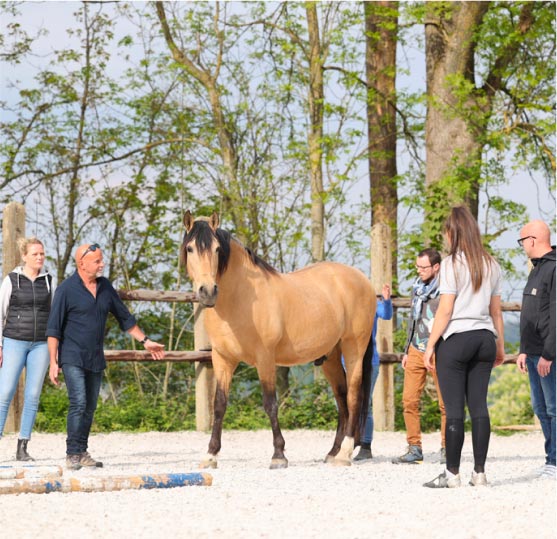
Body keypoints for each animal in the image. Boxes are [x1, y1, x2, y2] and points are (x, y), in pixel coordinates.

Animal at [180, 213, 376, 470]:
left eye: (216, 249)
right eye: (190, 248)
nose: (208, 291)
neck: (240, 298)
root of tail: (363, 280)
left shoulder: (265, 358)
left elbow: (270, 403)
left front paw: (278, 455)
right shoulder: (222, 359)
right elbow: (219, 405)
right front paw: (211, 455)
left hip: (354, 348)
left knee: (353, 397)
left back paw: (344, 454)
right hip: (330, 357)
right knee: (342, 398)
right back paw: (333, 452)